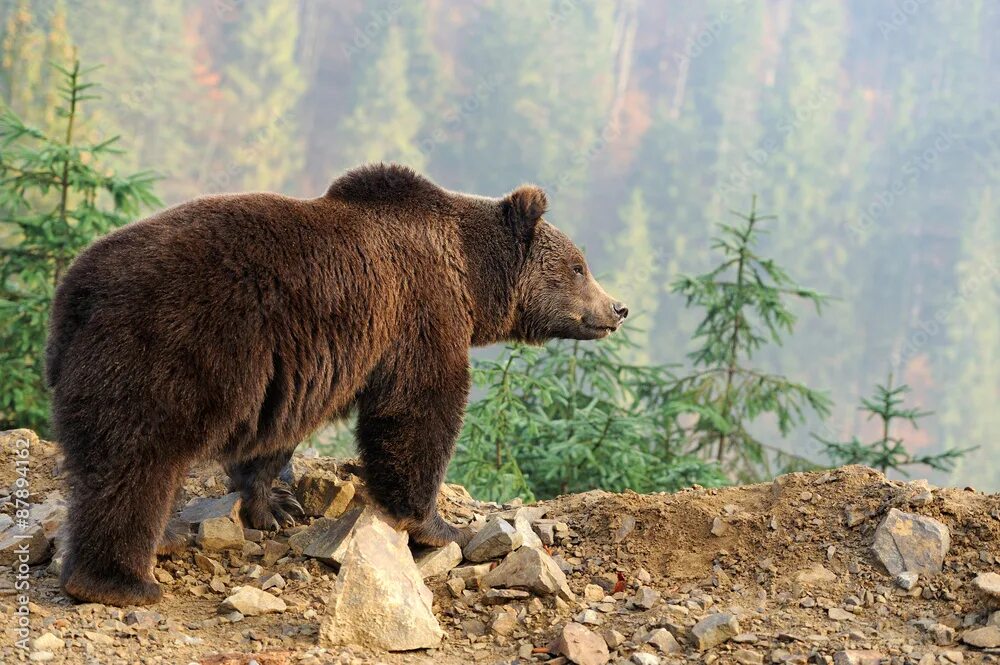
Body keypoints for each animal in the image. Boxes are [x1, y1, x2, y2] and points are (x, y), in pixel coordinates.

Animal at [47, 163, 628, 604]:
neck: (469, 277)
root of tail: (76, 289)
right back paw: (122, 580)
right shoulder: (417, 314)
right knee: (137, 462)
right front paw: (439, 525)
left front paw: (275, 506)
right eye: (579, 267)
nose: (617, 308)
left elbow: (277, 437)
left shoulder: (301, 367)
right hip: (169, 350)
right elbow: (418, 412)